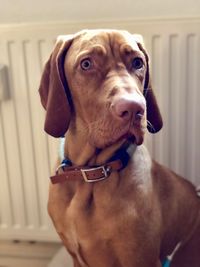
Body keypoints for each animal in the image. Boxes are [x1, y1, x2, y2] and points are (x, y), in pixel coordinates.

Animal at [39, 30, 200, 266]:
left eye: (137, 62)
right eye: (86, 64)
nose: (134, 108)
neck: (91, 173)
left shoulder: (142, 259)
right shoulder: (76, 257)